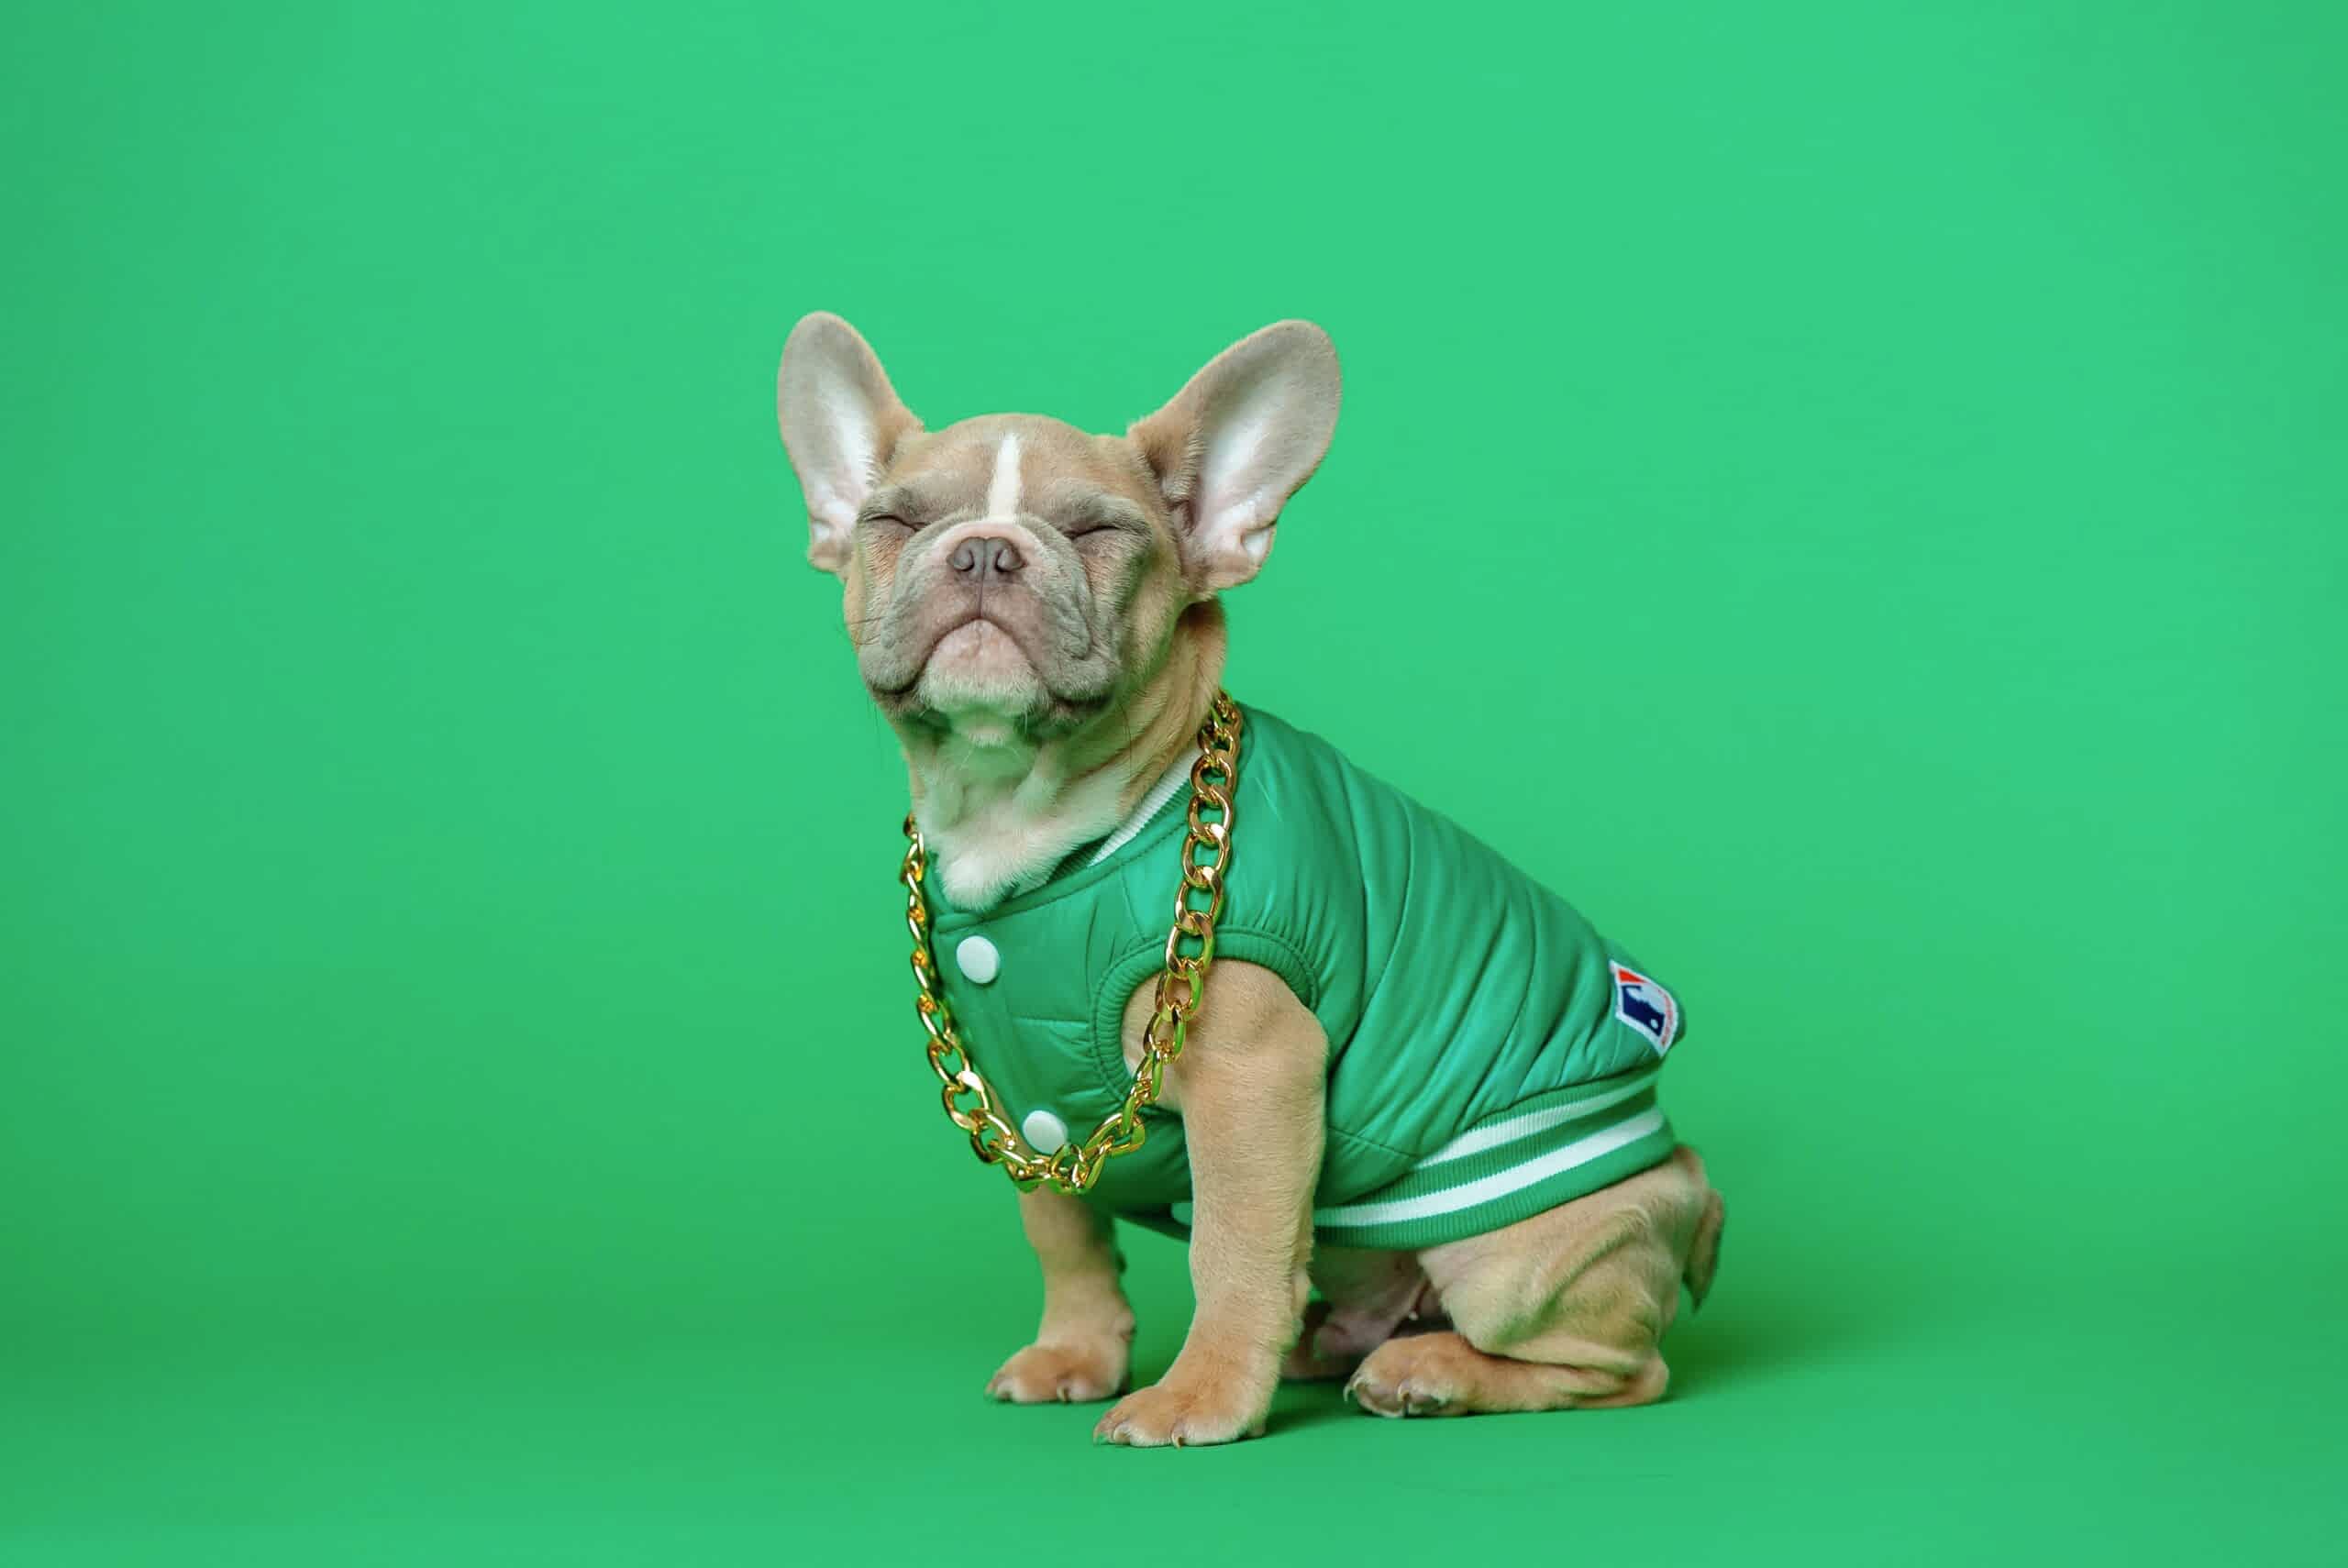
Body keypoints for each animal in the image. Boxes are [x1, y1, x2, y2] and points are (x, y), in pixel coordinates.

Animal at [779, 315, 1718, 1445]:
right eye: (894, 520)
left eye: (1098, 534)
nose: (985, 550)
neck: (1024, 822)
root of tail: (1690, 1189)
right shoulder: (1025, 1104)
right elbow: (1063, 1233)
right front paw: (1075, 1353)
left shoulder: (1252, 1077)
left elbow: (1231, 1251)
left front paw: (1202, 1396)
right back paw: (1341, 1342)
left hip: (1518, 1250)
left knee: (1619, 1369)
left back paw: (1433, 1372)